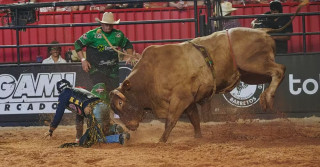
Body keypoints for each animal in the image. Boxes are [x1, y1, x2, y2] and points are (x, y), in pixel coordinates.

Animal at [110, 1, 308, 142]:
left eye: (120, 104)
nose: (129, 126)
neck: (152, 74)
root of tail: (262, 30)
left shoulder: (180, 98)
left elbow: (171, 121)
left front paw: (162, 140)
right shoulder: (189, 100)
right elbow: (195, 119)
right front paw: (198, 137)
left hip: (254, 63)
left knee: (279, 70)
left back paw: (268, 97)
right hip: (251, 74)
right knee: (274, 75)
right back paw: (265, 99)